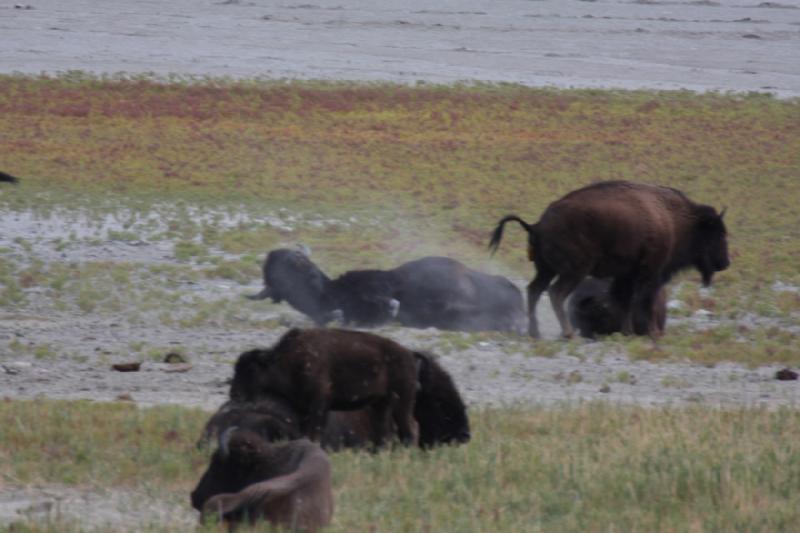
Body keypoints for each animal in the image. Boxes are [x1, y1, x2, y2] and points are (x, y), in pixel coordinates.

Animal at [228, 326, 418, 446]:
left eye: (251, 369)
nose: (235, 394)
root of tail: (408, 355)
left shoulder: (319, 404)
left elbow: (315, 432)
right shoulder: (304, 409)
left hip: (401, 403)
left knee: (407, 433)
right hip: (381, 405)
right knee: (385, 435)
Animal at [488, 179, 732, 336]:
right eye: (717, 233)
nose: (724, 262)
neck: (672, 219)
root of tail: (536, 225)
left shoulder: (626, 276)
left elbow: (625, 301)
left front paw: (627, 332)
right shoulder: (651, 273)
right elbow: (645, 301)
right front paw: (653, 332)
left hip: (546, 269)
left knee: (534, 290)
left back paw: (535, 333)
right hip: (573, 271)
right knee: (555, 293)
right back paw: (567, 333)